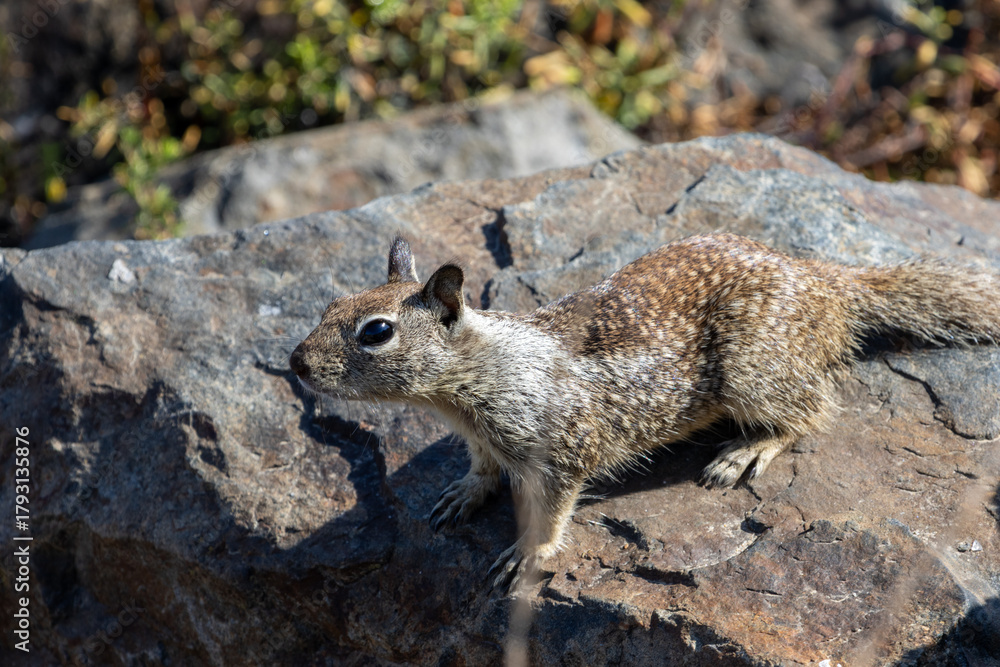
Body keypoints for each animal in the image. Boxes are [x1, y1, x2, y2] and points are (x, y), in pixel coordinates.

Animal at [290, 233, 1000, 591]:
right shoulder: (483, 440)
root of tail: (829, 282)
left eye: (377, 332)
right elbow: (482, 469)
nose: (295, 363)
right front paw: (462, 492)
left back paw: (744, 452)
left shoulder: (559, 451)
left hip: (755, 369)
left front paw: (526, 552)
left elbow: (551, 512)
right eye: (329, 305)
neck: (466, 388)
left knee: (814, 411)